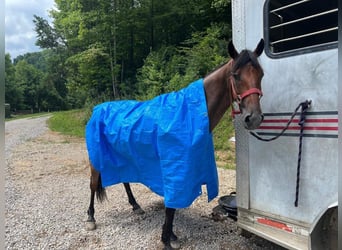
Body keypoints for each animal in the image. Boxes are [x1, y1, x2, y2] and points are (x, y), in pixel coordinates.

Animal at [85, 38, 264, 249]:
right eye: (236, 76)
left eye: (261, 74)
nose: (254, 118)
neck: (190, 114)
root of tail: (97, 109)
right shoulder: (175, 173)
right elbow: (171, 207)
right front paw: (166, 239)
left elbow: (173, 208)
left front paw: (171, 236)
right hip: (96, 160)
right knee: (93, 184)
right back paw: (91, 218)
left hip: (122, 157)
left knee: (125, 179)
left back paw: (135, 206)